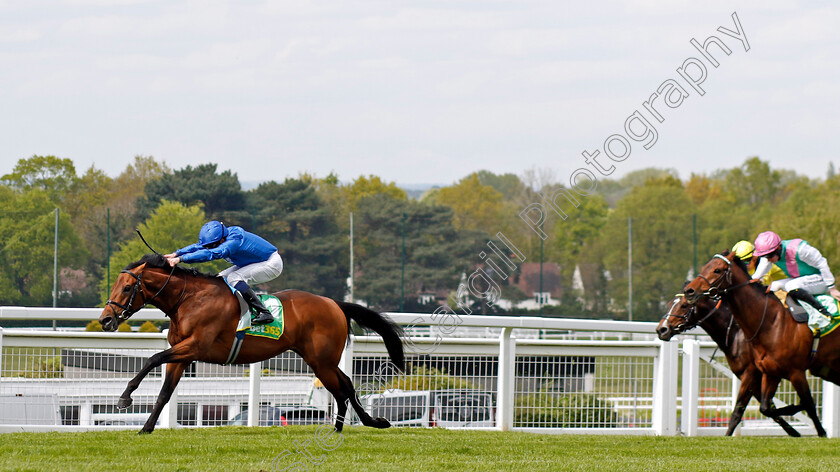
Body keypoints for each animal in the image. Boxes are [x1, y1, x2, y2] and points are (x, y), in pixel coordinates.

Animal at [98, 254, 406, 436]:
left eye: (127, 287)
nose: (105, 320)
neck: (188, 300)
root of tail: (334, 303)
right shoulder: (183, 355)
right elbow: (164, 393)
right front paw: (146, 428)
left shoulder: (195, 346)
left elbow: (152, 359)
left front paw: (124, 398)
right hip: (320, 360)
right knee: (345, 386)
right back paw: (343, 427)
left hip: (322, 360)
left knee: (344, 386)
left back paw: (363, 423)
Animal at [656, 290, 800, 436]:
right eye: (669, 304)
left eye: (684, 305)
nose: (661, 329)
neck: (736, 335)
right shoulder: (753, 379)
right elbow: (769, 409)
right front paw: (794, 432)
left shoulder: (750, 374)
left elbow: (738, 413)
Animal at [684, 253, 840, 436]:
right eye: (704, 268)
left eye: (717, 270)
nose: (689, 290)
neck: (771, 321)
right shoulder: (770, 372)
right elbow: (764, 408)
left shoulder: (794, 372)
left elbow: (808, 405)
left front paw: (819, 432)